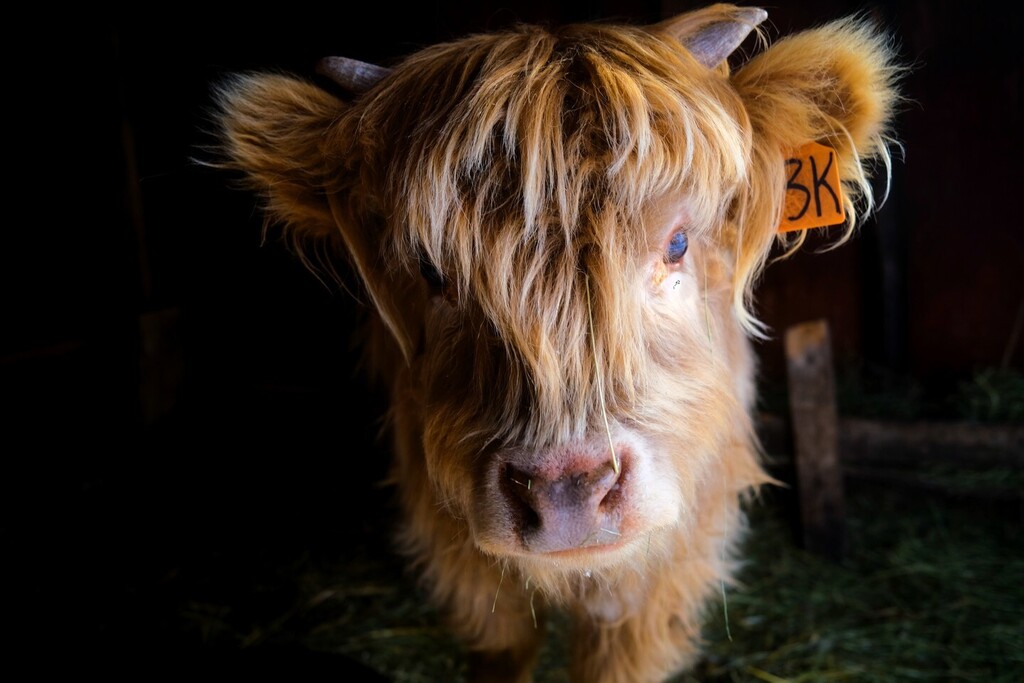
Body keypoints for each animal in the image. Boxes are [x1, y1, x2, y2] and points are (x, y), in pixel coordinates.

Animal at [212, 4, 900, 681]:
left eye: (678, 243)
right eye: (431, 271)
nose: (565, 490)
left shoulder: (667, 568)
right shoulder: (459, 556)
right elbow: (503, 650)